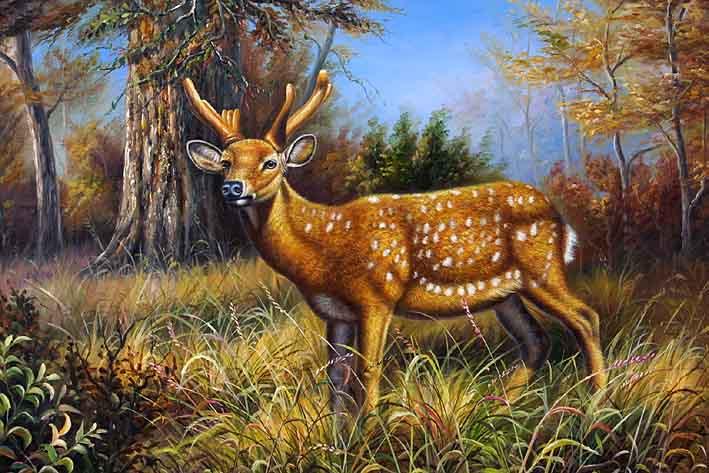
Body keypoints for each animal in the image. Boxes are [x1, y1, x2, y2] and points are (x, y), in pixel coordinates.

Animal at [182, 70, 607, 413]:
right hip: (506, 294)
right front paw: (337, 439)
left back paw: (596, 401)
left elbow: (369, 369)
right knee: (536, 340)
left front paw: (368, 433)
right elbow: (336, 377)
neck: (322, 247)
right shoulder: (336, 312)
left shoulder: (377, 294)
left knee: (586, 317)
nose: (232, 188)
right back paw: (499, 405)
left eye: (270, 162)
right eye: (226, 163)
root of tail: (559, 217)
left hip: (542, 269)